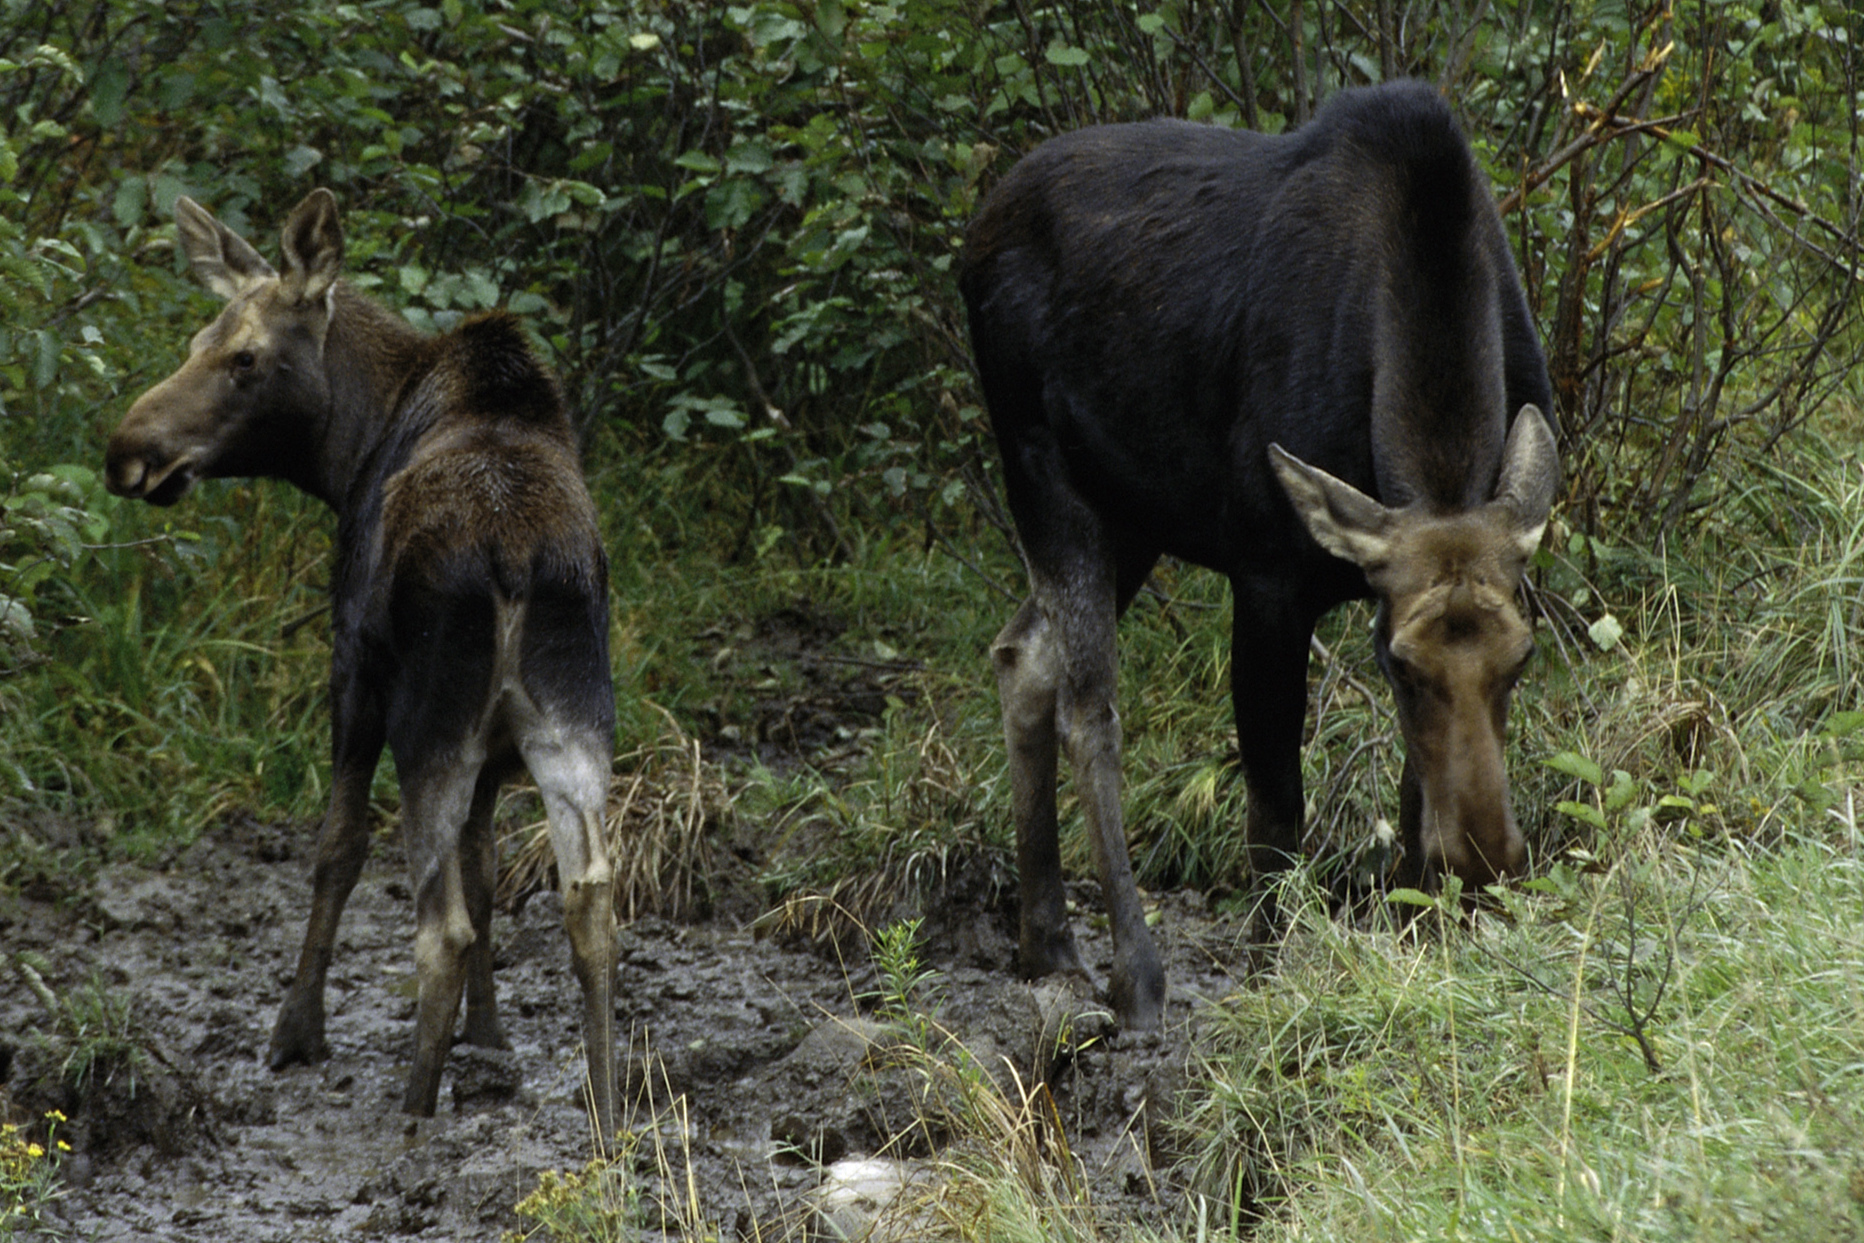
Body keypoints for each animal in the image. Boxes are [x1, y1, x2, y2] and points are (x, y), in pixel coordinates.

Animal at [105, 189, 618, 1133]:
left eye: (244, 356)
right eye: (195, 341)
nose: (129, 449)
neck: (349, 451)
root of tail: (518, 557)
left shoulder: (353, 669)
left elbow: (338, 845)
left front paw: (295, 1032)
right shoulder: (497, 746)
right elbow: (487, 870)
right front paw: (488, 1037)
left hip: (430, 721)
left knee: (437, 927)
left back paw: (414, 1112)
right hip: (573, 719)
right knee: (589, 894)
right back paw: (609, 1107)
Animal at [959, 79, 1559, 1030]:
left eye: (1524, 657)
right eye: (1398, 665)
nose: (1486, 857)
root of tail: (973, 235)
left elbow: (1408, 788)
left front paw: (1422, 923)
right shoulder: (1267, 577)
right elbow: (1276, 811)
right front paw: (1279, 968)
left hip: (1133, 514)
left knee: (1023, 653)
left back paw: (1045, 937)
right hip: (1041, 471)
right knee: (1090, 705)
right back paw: (1136, 970)